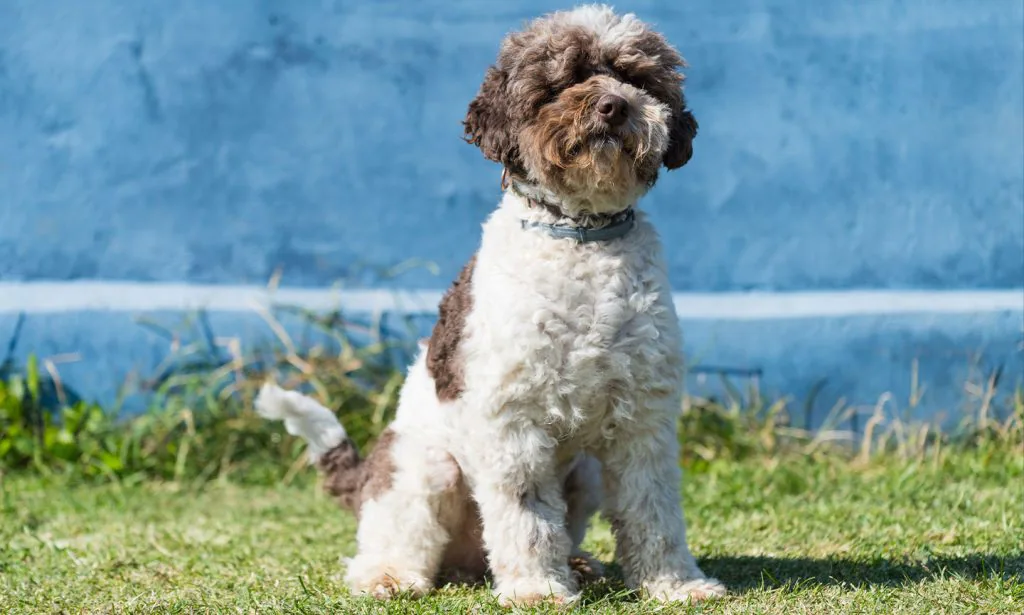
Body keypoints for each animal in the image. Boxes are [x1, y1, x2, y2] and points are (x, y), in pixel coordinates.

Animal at [254, 4, 724, 605]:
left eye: (636, 78)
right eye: (562, 81)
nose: (614, 106)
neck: (581, 237)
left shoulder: (643, 419)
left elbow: (654, 509)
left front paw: (675, 585)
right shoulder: (513, 419)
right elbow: (526, 514)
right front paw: (538, 590)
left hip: (586, 473)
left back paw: (578, 564)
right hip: (424, 467)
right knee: (389, 542)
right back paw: (389, 576)